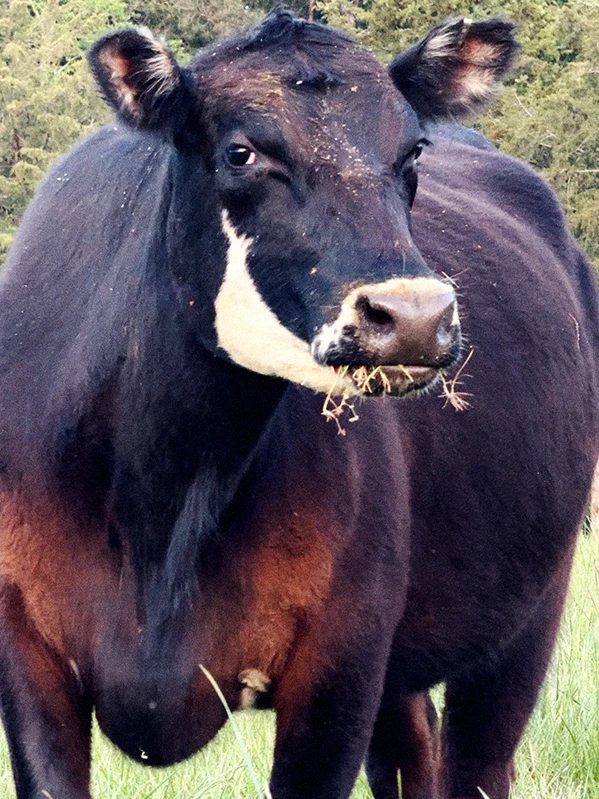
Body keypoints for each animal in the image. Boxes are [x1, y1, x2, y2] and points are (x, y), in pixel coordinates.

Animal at [1, 10, 599, 799]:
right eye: (242, 152)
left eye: (412, 150)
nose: (414, 315)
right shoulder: (25, 650)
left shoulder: (341, 658)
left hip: (528, 612)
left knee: (475, 762)